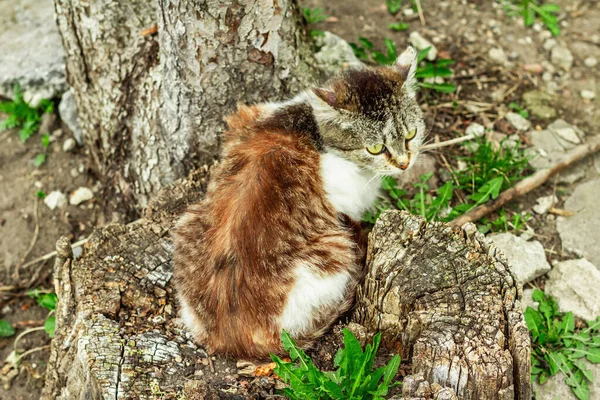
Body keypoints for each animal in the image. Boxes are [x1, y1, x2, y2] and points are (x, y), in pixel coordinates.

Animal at [173, 47, 426, 360]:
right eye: (376, 148)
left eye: (410, 135)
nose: (404, 163)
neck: (310, 127)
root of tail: (234, 341)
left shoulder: (246, 118)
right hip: (333, 253)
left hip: (187, 223)